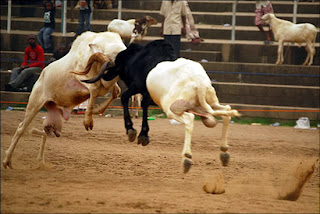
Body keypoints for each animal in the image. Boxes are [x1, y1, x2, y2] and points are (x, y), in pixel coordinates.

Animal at [2, 31, 126, 169]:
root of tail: (40, 76)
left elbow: (116, 92)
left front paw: (96, 110)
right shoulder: (81, 78)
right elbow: (94, 90)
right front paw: (88, 122)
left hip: (55, 121)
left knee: (46, 132)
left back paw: (40, 160)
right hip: (34, 105)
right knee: (20, 129)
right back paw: (7, 161)